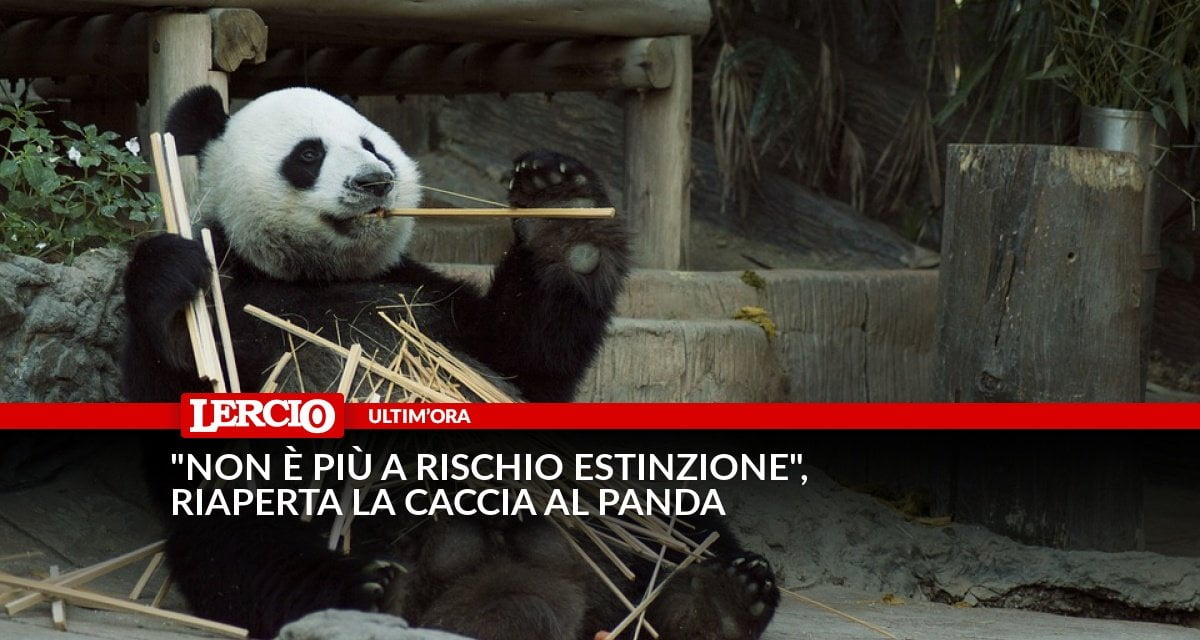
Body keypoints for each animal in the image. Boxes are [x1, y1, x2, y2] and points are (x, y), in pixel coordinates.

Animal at [121, 86, 780, 640]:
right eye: (308, 154)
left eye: (371, 144)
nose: (375, 181)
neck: (315, 275)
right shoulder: (236, 305)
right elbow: (171, 399)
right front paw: (169, 271)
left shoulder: (427, 299)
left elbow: (529, 358)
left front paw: (561, 205)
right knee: (248, 550)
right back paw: (367, 590)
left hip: (599, 489)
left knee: (673, 515)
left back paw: (714, 598)